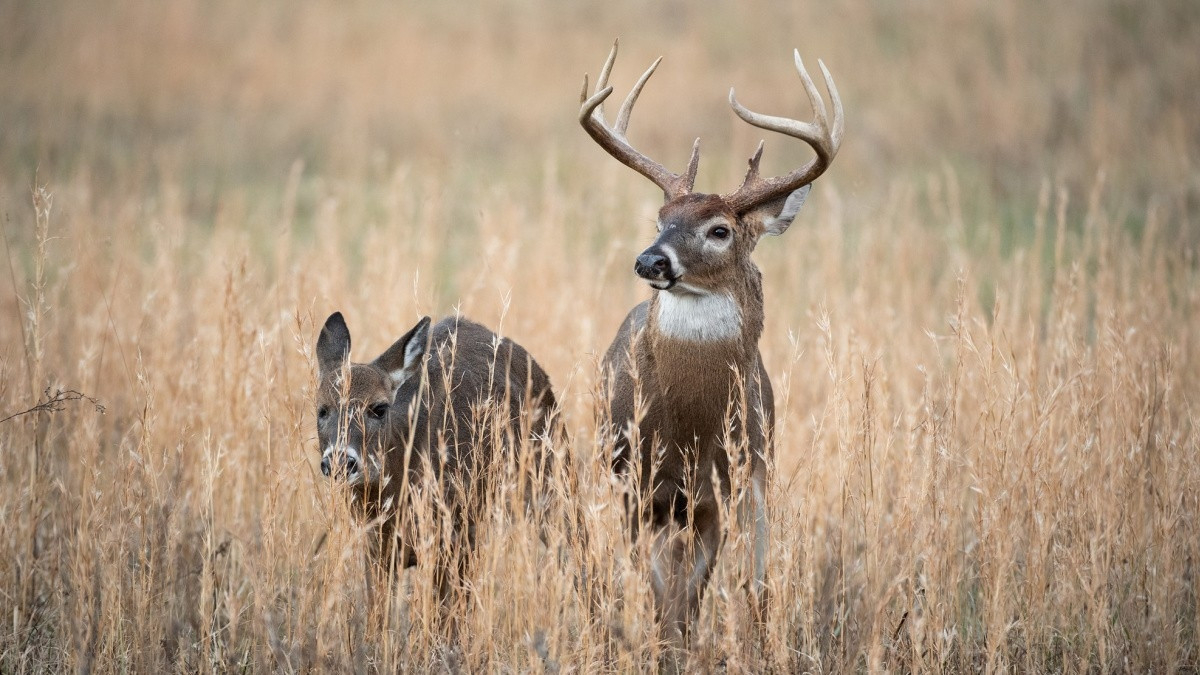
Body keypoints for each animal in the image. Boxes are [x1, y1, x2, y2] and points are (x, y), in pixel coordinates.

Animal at [580, 39, 844, 638]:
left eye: (720, 229)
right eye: (661, 218)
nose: (650, 260)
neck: (690, 432)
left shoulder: (721, 494)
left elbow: (692, 595)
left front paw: (683, 643)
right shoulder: (638, 488)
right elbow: (660, 594)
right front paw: (661, 644)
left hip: (758, 478)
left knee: (754, 575)